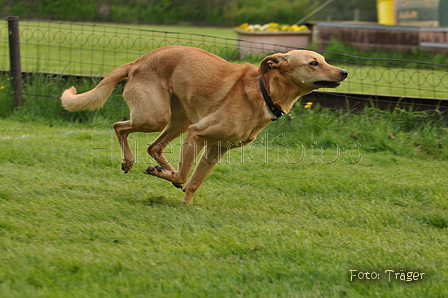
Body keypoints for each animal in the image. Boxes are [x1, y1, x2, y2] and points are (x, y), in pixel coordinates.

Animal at [60, 45, 346, 204]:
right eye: (313, 63)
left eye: (324, 60)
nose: (344, 72)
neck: (263, 90)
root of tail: (137, 62)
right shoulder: (197, 134)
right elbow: (186, 175)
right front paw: (167, 178)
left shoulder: (216, 149)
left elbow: (194, 181)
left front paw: (186, 203)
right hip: (157, 117)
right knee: (120, 127)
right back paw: (132, 163)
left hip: (178, 121)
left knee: (155, 148)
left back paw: (164, 170)